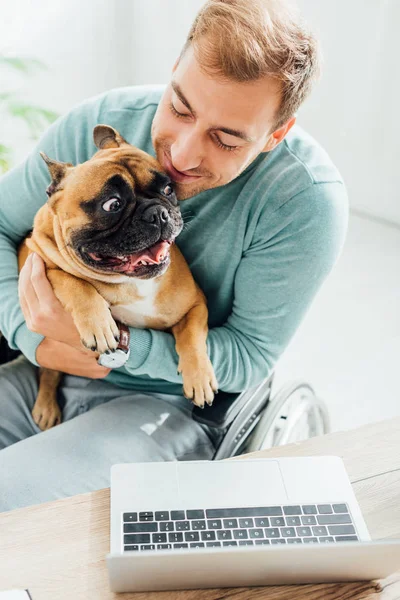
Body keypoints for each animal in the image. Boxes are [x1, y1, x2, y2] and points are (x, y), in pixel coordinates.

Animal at [18, 124, 219, 428]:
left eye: (168, 189)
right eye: (112, 205)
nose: (159, 213)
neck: (131, 283)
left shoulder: (196, 303)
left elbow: (193, 335)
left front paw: (200, 376)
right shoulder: (37, 265)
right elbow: (72, 281)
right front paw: (98, 323)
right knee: (49, 371)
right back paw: (46, 406)